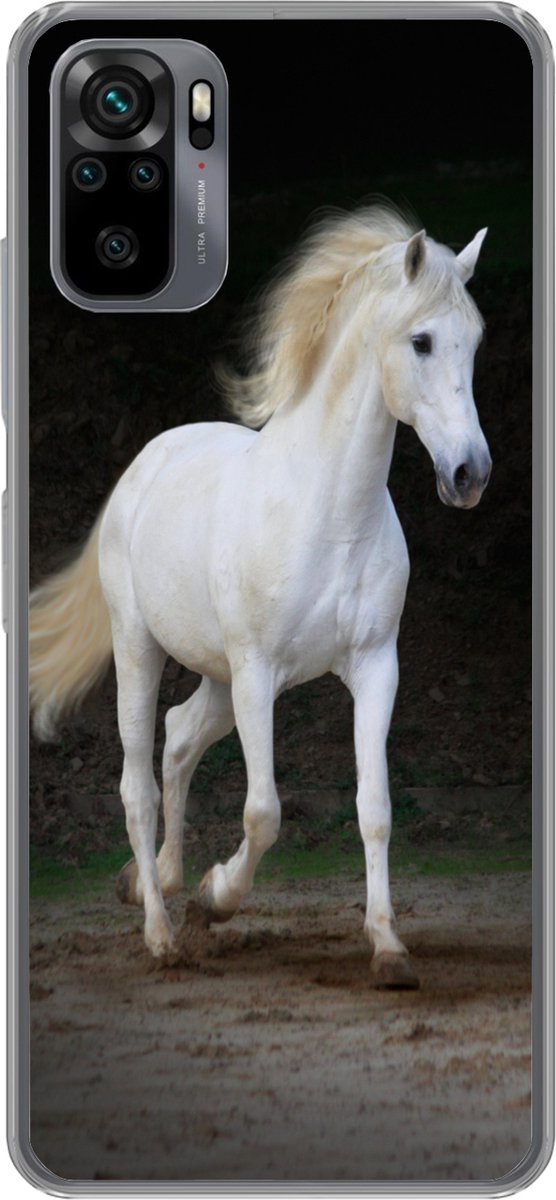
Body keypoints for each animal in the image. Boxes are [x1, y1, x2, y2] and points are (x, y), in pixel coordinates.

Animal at [30, 205, 491, 990]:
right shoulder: (257, 676)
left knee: (180, 738)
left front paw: (388, 949)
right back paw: (161, 930)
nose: (469, 475)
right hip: (141, 650)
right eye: (422, 341)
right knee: (137, 782)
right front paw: (217, 898)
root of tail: (145, 464)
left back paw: (155, 881)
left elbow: (375, 808)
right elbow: (264, 812)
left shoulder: (376, 669)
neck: (328, 513)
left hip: (216, 679)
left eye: (476, 341)